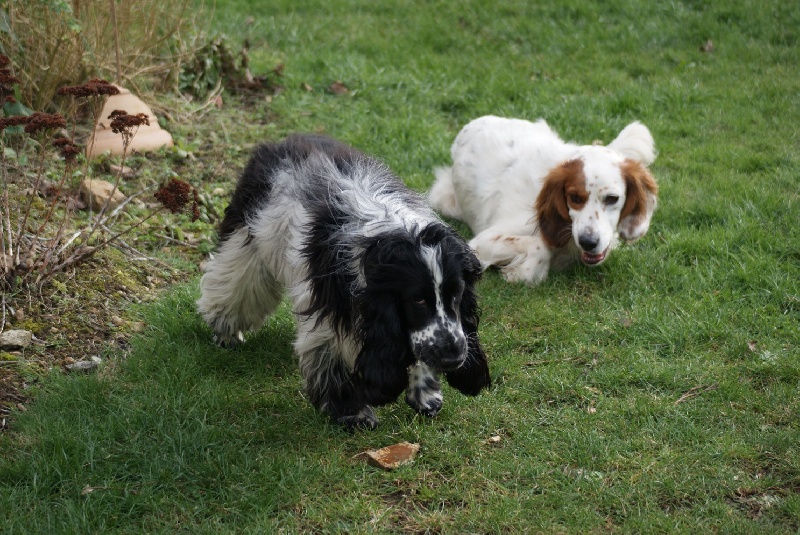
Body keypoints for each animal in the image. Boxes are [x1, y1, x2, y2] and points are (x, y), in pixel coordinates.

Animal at [197, 134, 490, 428]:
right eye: (417, 299)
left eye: (456, 294)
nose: (454, 356)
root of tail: (284, 141)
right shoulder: (328, 310)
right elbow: (331, 355)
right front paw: (351, 411)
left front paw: (425, 393)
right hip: (248, 237)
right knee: (232, 284)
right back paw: (226, 331)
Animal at [429, 116, 659, 284]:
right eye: (574, 198)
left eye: (612, 199)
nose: (588, 242)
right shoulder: (480, 242)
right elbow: (540, 246)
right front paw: (518, 272)